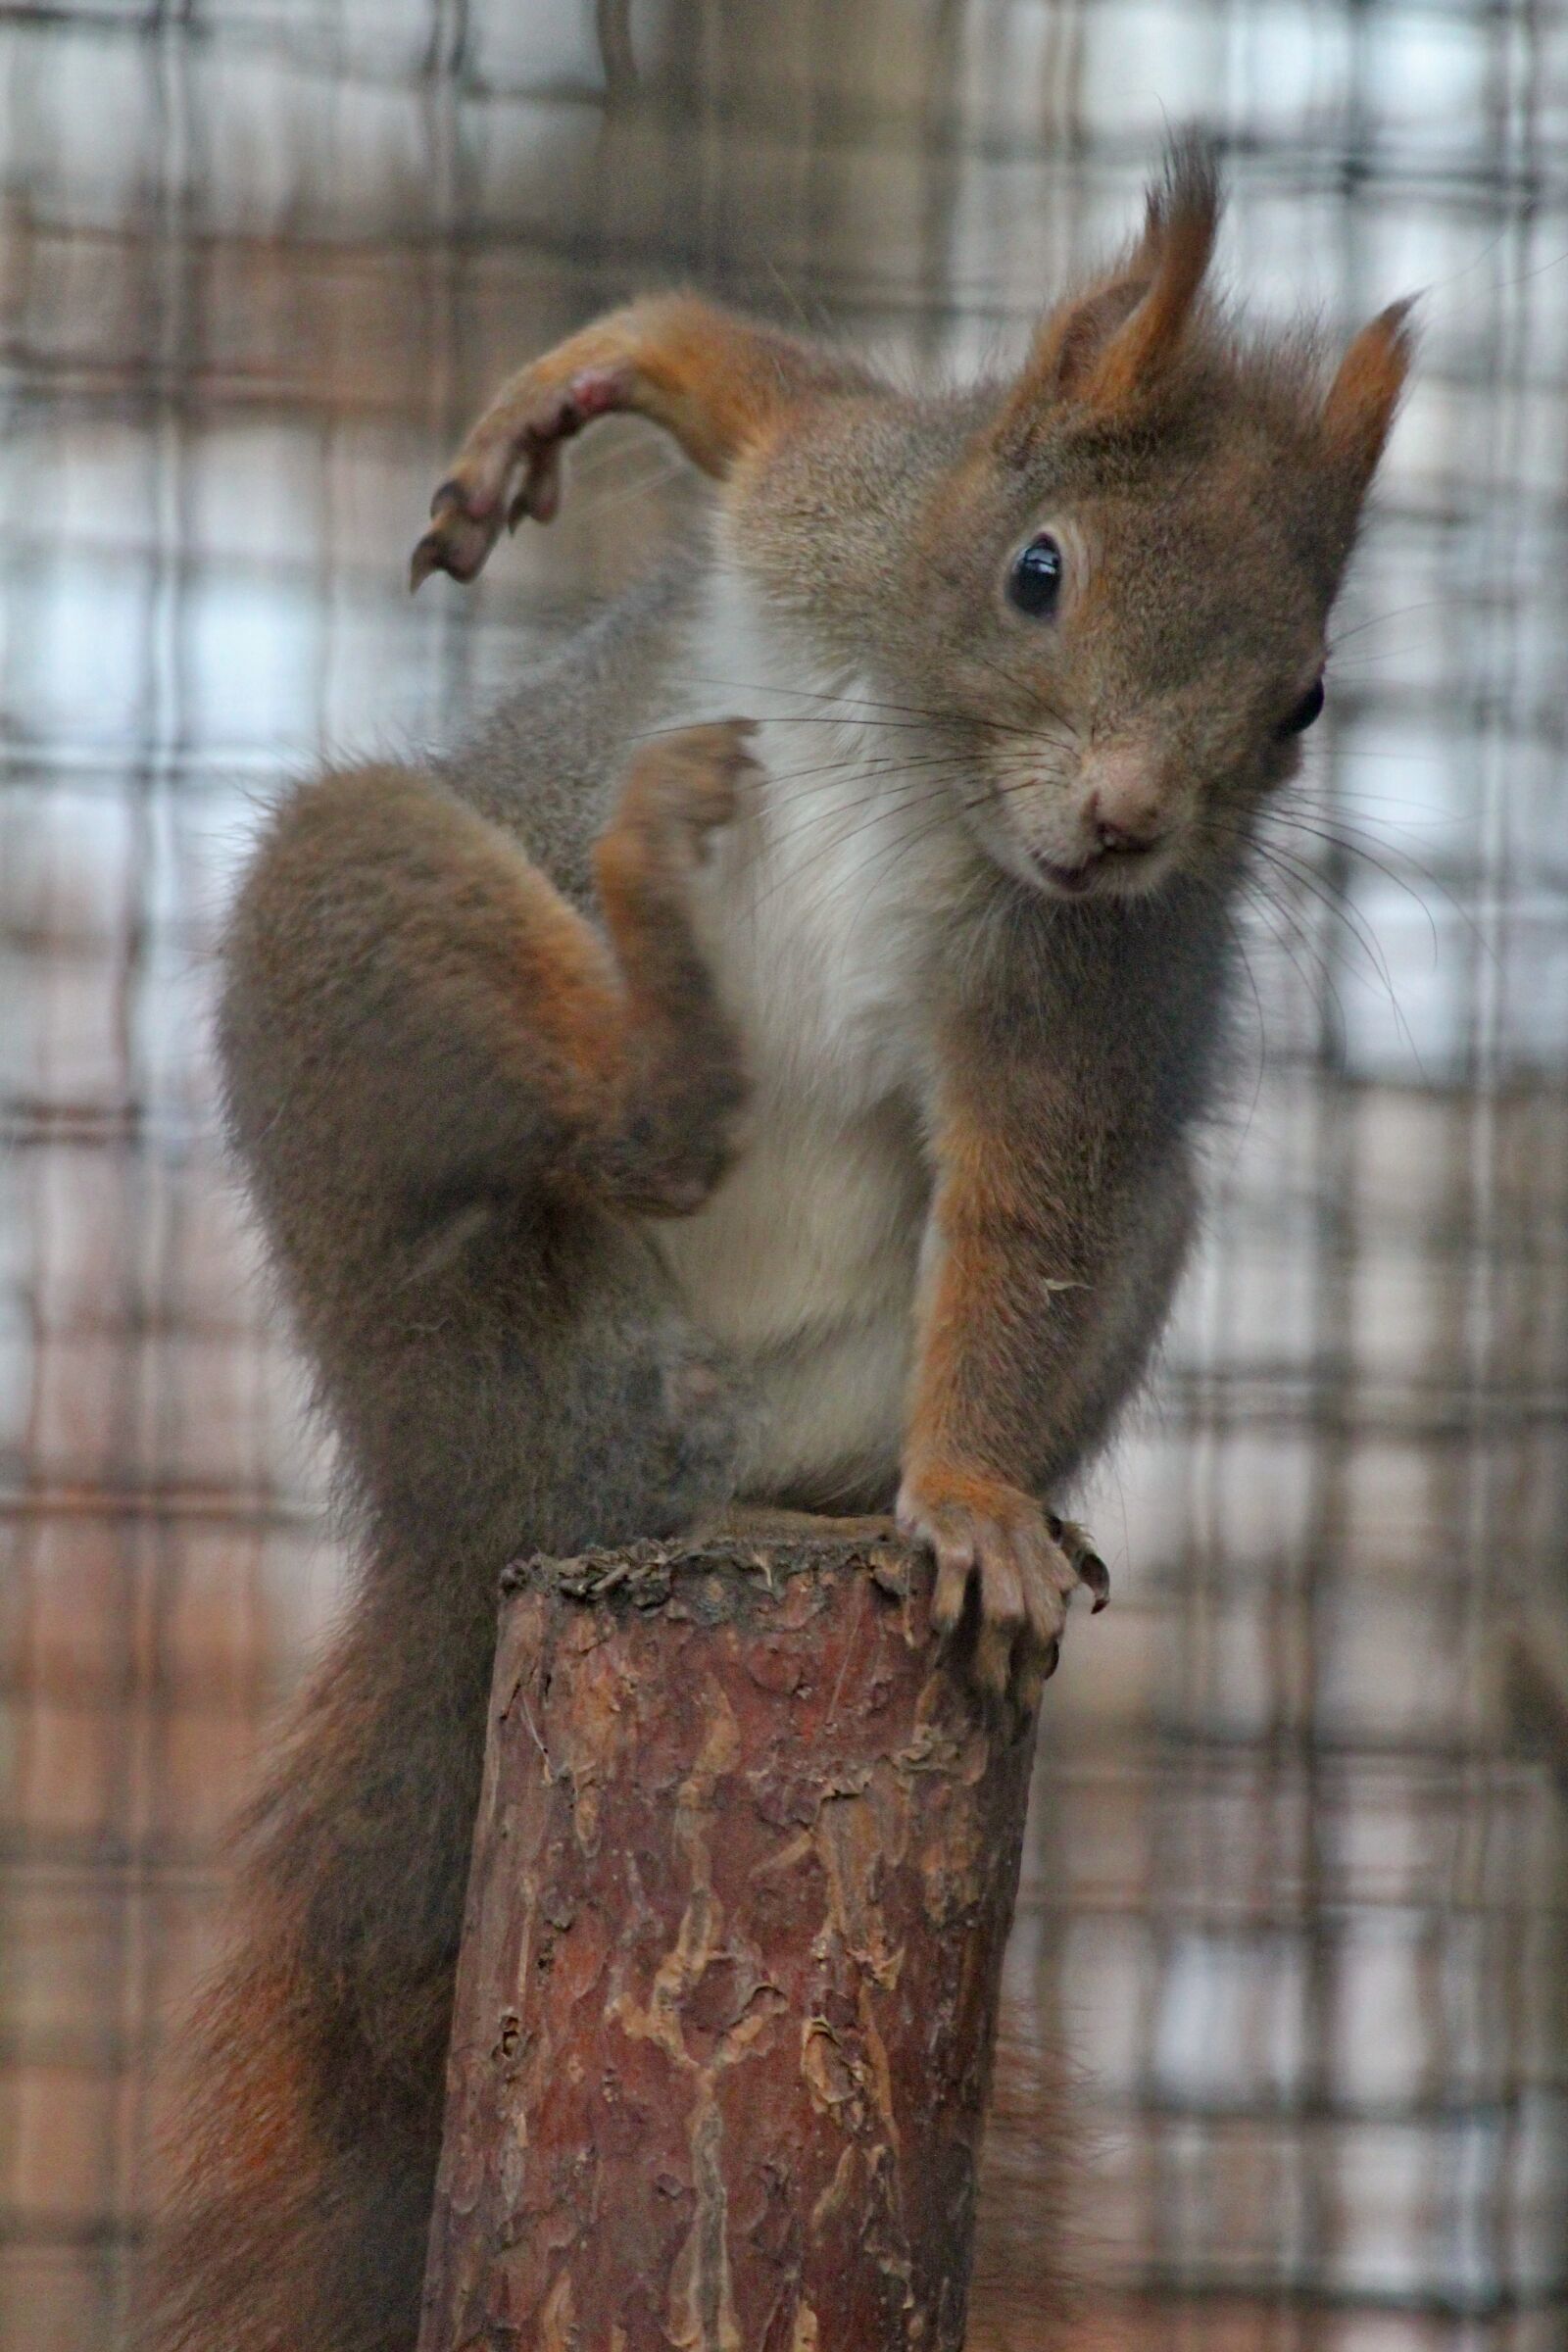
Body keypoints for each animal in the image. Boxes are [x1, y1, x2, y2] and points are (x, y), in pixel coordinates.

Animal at [134, 143, 1410, 2352]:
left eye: (1304, 701)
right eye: (1037, 571)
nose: (1122, 823)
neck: (935, 784)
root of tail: (490, 1509)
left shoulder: (1074, 1023)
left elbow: (1028, 1226)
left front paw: (973, 1504)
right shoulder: (832, 501)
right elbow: (761, 392)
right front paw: (566, 392)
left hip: (993, 1299)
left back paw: (863, 1503)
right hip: (389, 1075)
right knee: (534, 1063)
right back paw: (643, 962)